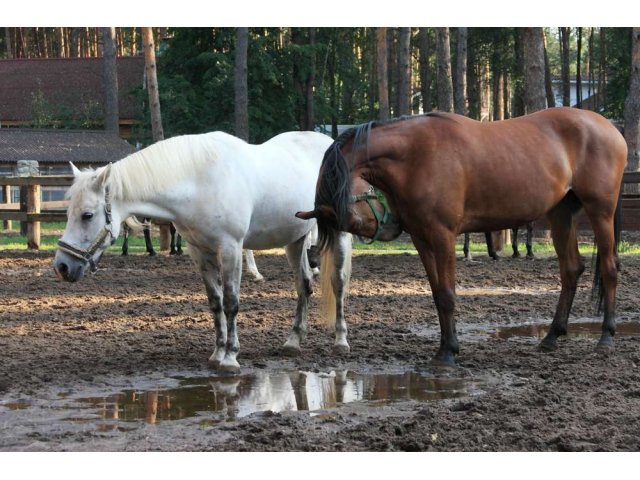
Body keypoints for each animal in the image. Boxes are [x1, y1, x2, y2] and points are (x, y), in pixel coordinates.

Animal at [53, 131, 356, 376]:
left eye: (87, 215)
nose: (62, 267)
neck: (198, 181)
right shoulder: (200, 252)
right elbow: (215, 302)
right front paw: (217, 353)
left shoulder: (231, 248)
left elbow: (231, 302)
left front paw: (231, 358)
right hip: (295, 239)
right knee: (303, 285)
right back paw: (293, 342)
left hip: (337, 236)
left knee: (338, 284)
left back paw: (341, 341)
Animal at [298, 108, 628, 364]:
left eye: (350, 214)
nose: (392, 226)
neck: (416, 155)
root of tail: (610, 128)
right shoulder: (422, 239)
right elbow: (436, 294)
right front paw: (445, 346)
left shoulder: (443, 236)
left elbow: (447, 294)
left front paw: (449, 353)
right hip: (561, 214)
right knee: (571, 270)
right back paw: (551, 336)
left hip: (600, 211)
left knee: (610, 268)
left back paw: (606, 337)